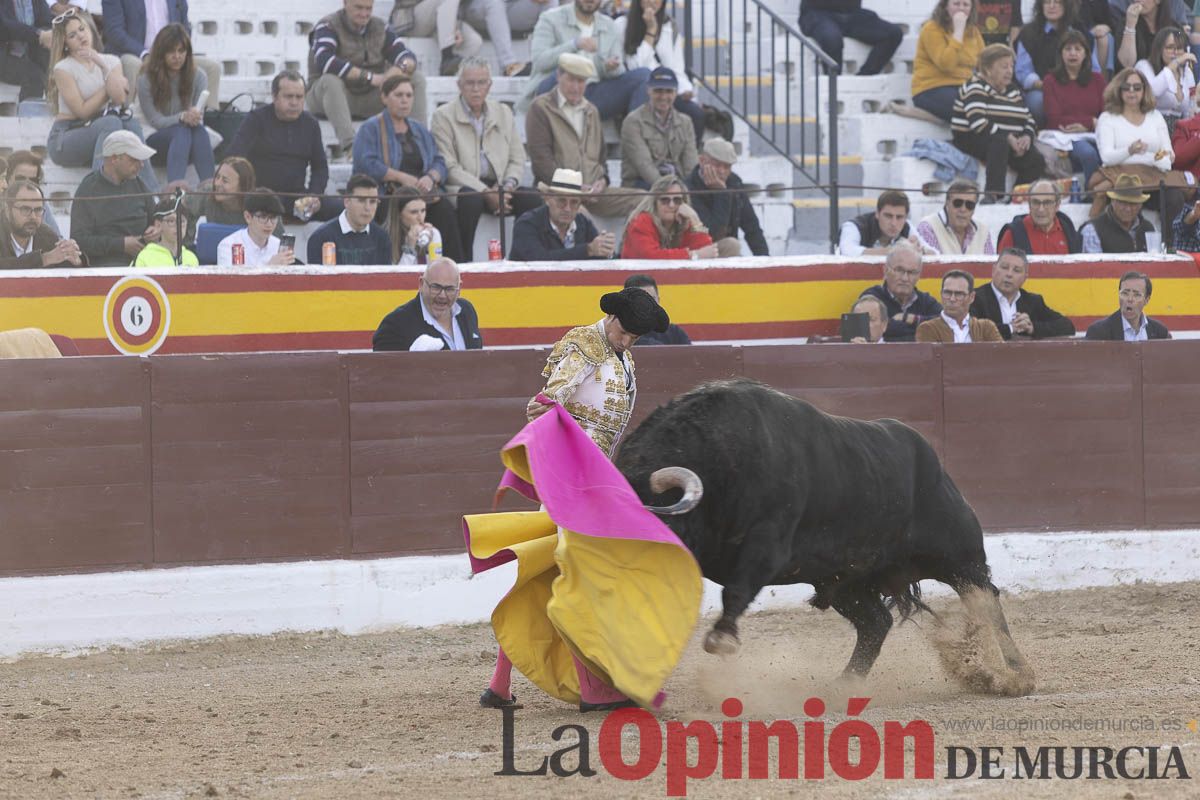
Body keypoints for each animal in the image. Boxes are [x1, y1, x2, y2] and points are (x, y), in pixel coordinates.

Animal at [614, 379, 1036, 695]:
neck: (719, 459)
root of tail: (934, 464)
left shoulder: (767, 544)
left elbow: (736, 590)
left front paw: (722, 638)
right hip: (845, 581)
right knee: (876, 623)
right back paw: (845, 683)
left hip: (958, 558)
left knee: (984, 599)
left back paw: (1016, 676)